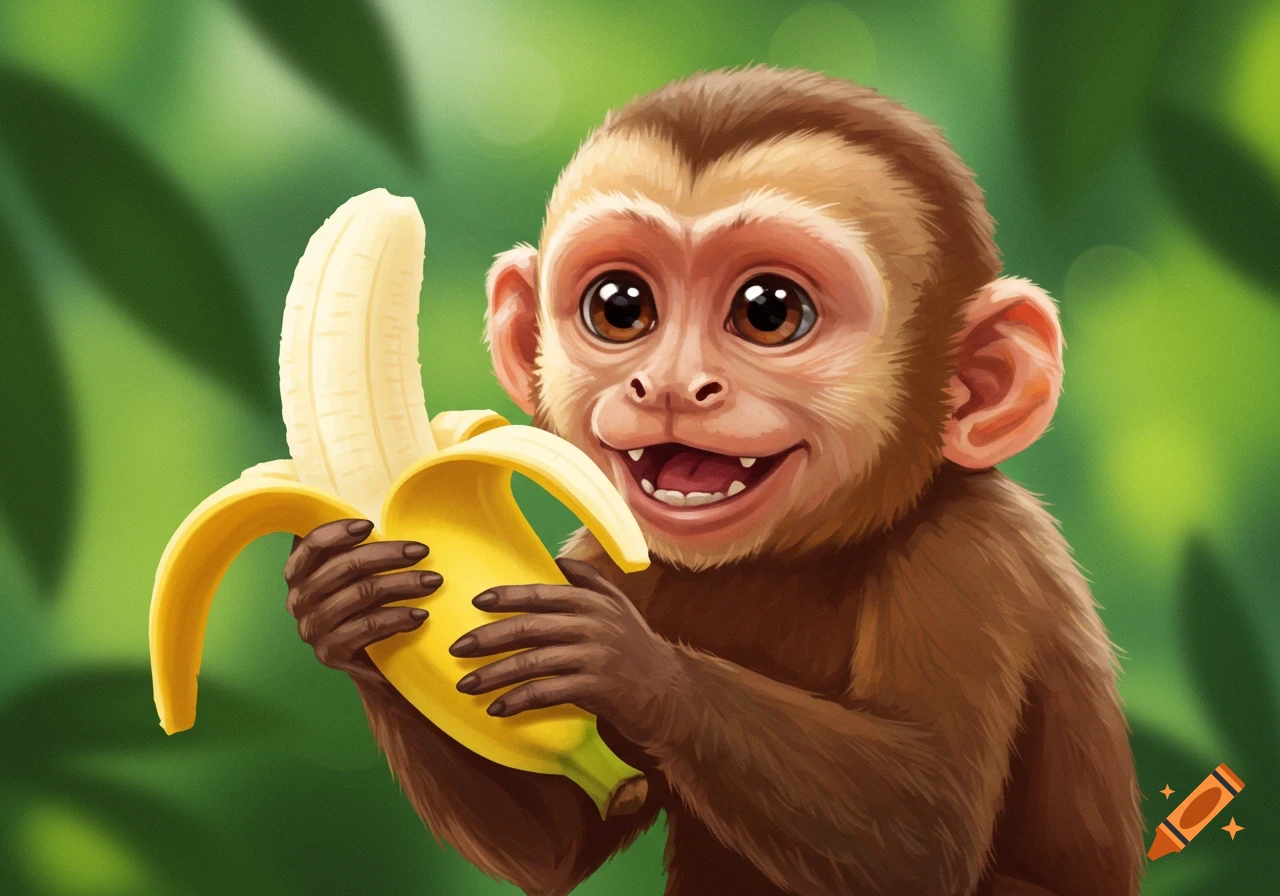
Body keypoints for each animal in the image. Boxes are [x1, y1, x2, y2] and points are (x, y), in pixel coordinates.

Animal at [281, 68, 1143, 896]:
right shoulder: (607, 557)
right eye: (621, 306)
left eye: (769, 311)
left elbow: (929, 834)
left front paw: (631, 664)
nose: (669, 386)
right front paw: (345, 598)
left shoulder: (970, 558)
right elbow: (559, 844)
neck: (786, 561)